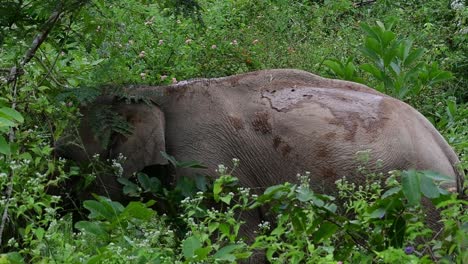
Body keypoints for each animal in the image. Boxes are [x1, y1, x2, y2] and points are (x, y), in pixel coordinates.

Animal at [56, 68, 462, 243]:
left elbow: (239, 243)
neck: (153, 91)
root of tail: (446, 148)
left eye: (67, 161)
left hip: (423, 197)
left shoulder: (209, 169)